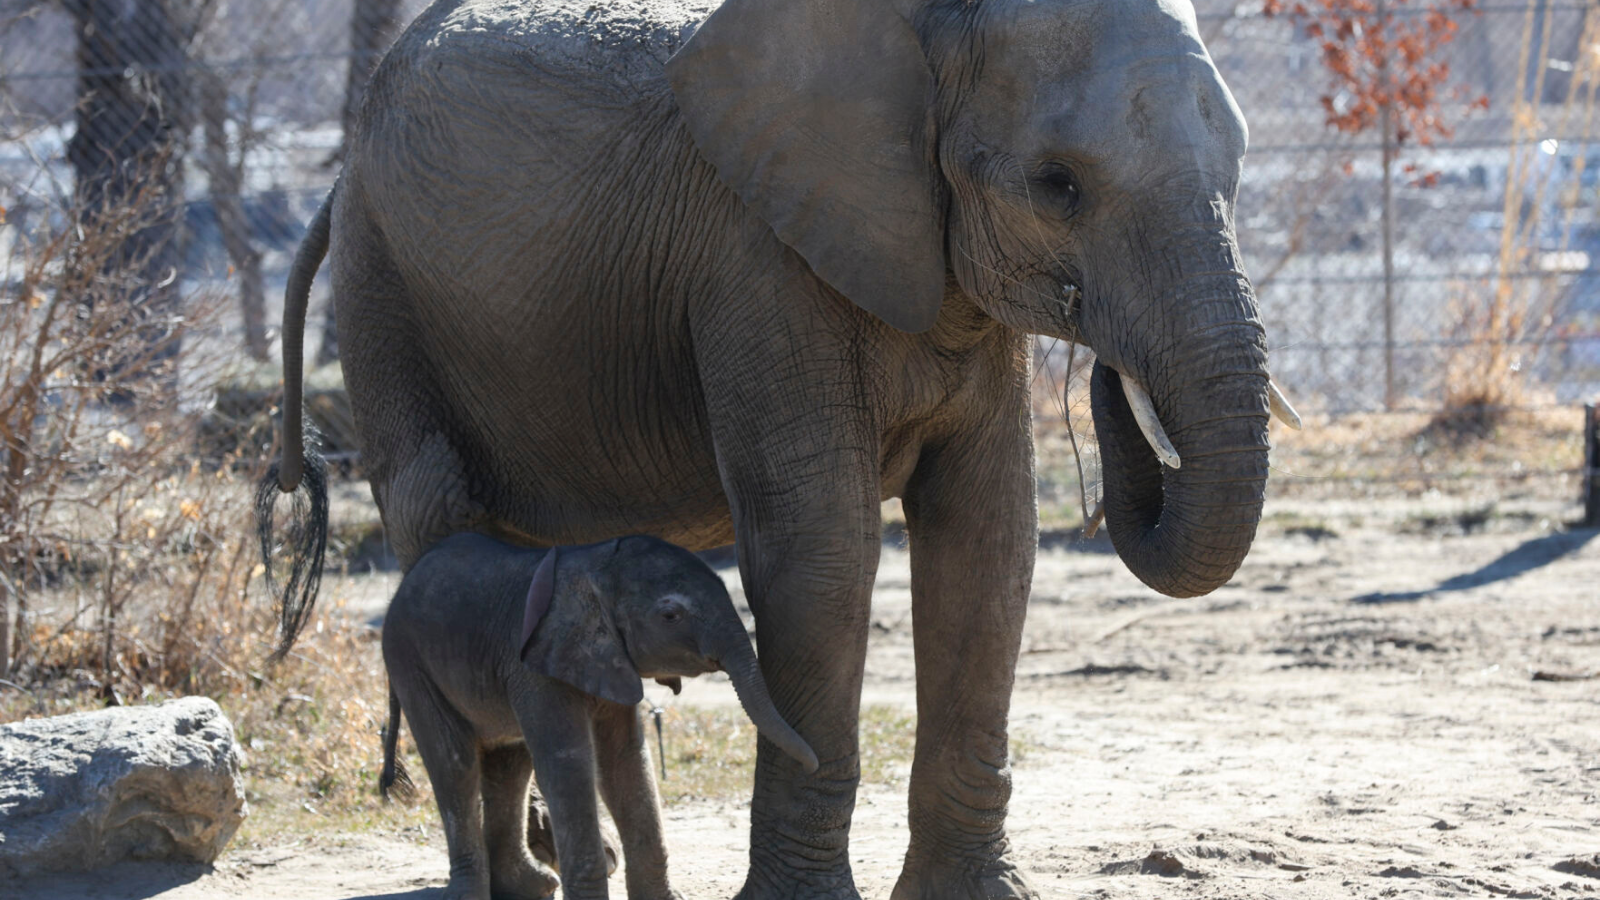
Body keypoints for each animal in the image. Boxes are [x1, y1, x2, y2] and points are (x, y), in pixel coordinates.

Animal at [380, 531, 819, 896]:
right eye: (671, 616)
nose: (814, 763)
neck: (592, 565)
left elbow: (624, 763)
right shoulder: (534, 667)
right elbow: (568, 763)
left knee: (508, 763)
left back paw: (531, 888)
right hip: (409, 661)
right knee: (455, 765)